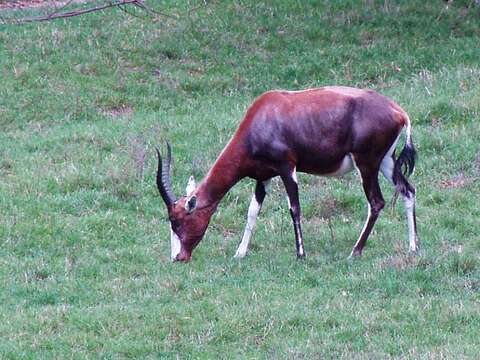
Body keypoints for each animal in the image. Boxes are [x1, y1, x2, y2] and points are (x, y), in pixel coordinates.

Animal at [157, 87, 416, 262]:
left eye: (177, 221)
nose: (178, 257)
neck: (265, 114)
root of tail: (399, 112)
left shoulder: (287, 169)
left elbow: (294, 208)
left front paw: (300, 254)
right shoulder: (263, 177)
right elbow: (252, 212)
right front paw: (239, 253)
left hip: (367, 164)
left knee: (376, 202)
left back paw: (355, 251)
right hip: (386, 162)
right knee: (408, 191)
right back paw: (413, 247)